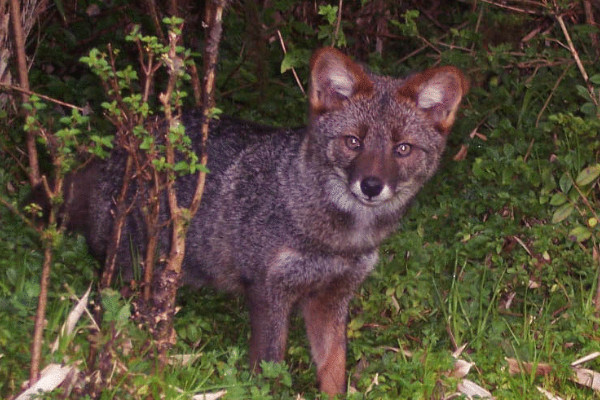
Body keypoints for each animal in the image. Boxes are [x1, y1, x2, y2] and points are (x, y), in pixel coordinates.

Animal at [58, 47, 468, 396]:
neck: (339, 239)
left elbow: (334, 370)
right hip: (132, 274)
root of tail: (121, 143)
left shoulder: (331, 298)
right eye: (353, 142)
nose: (370, 186)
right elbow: (268, 368)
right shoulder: (269, 292)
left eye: (402, 149)